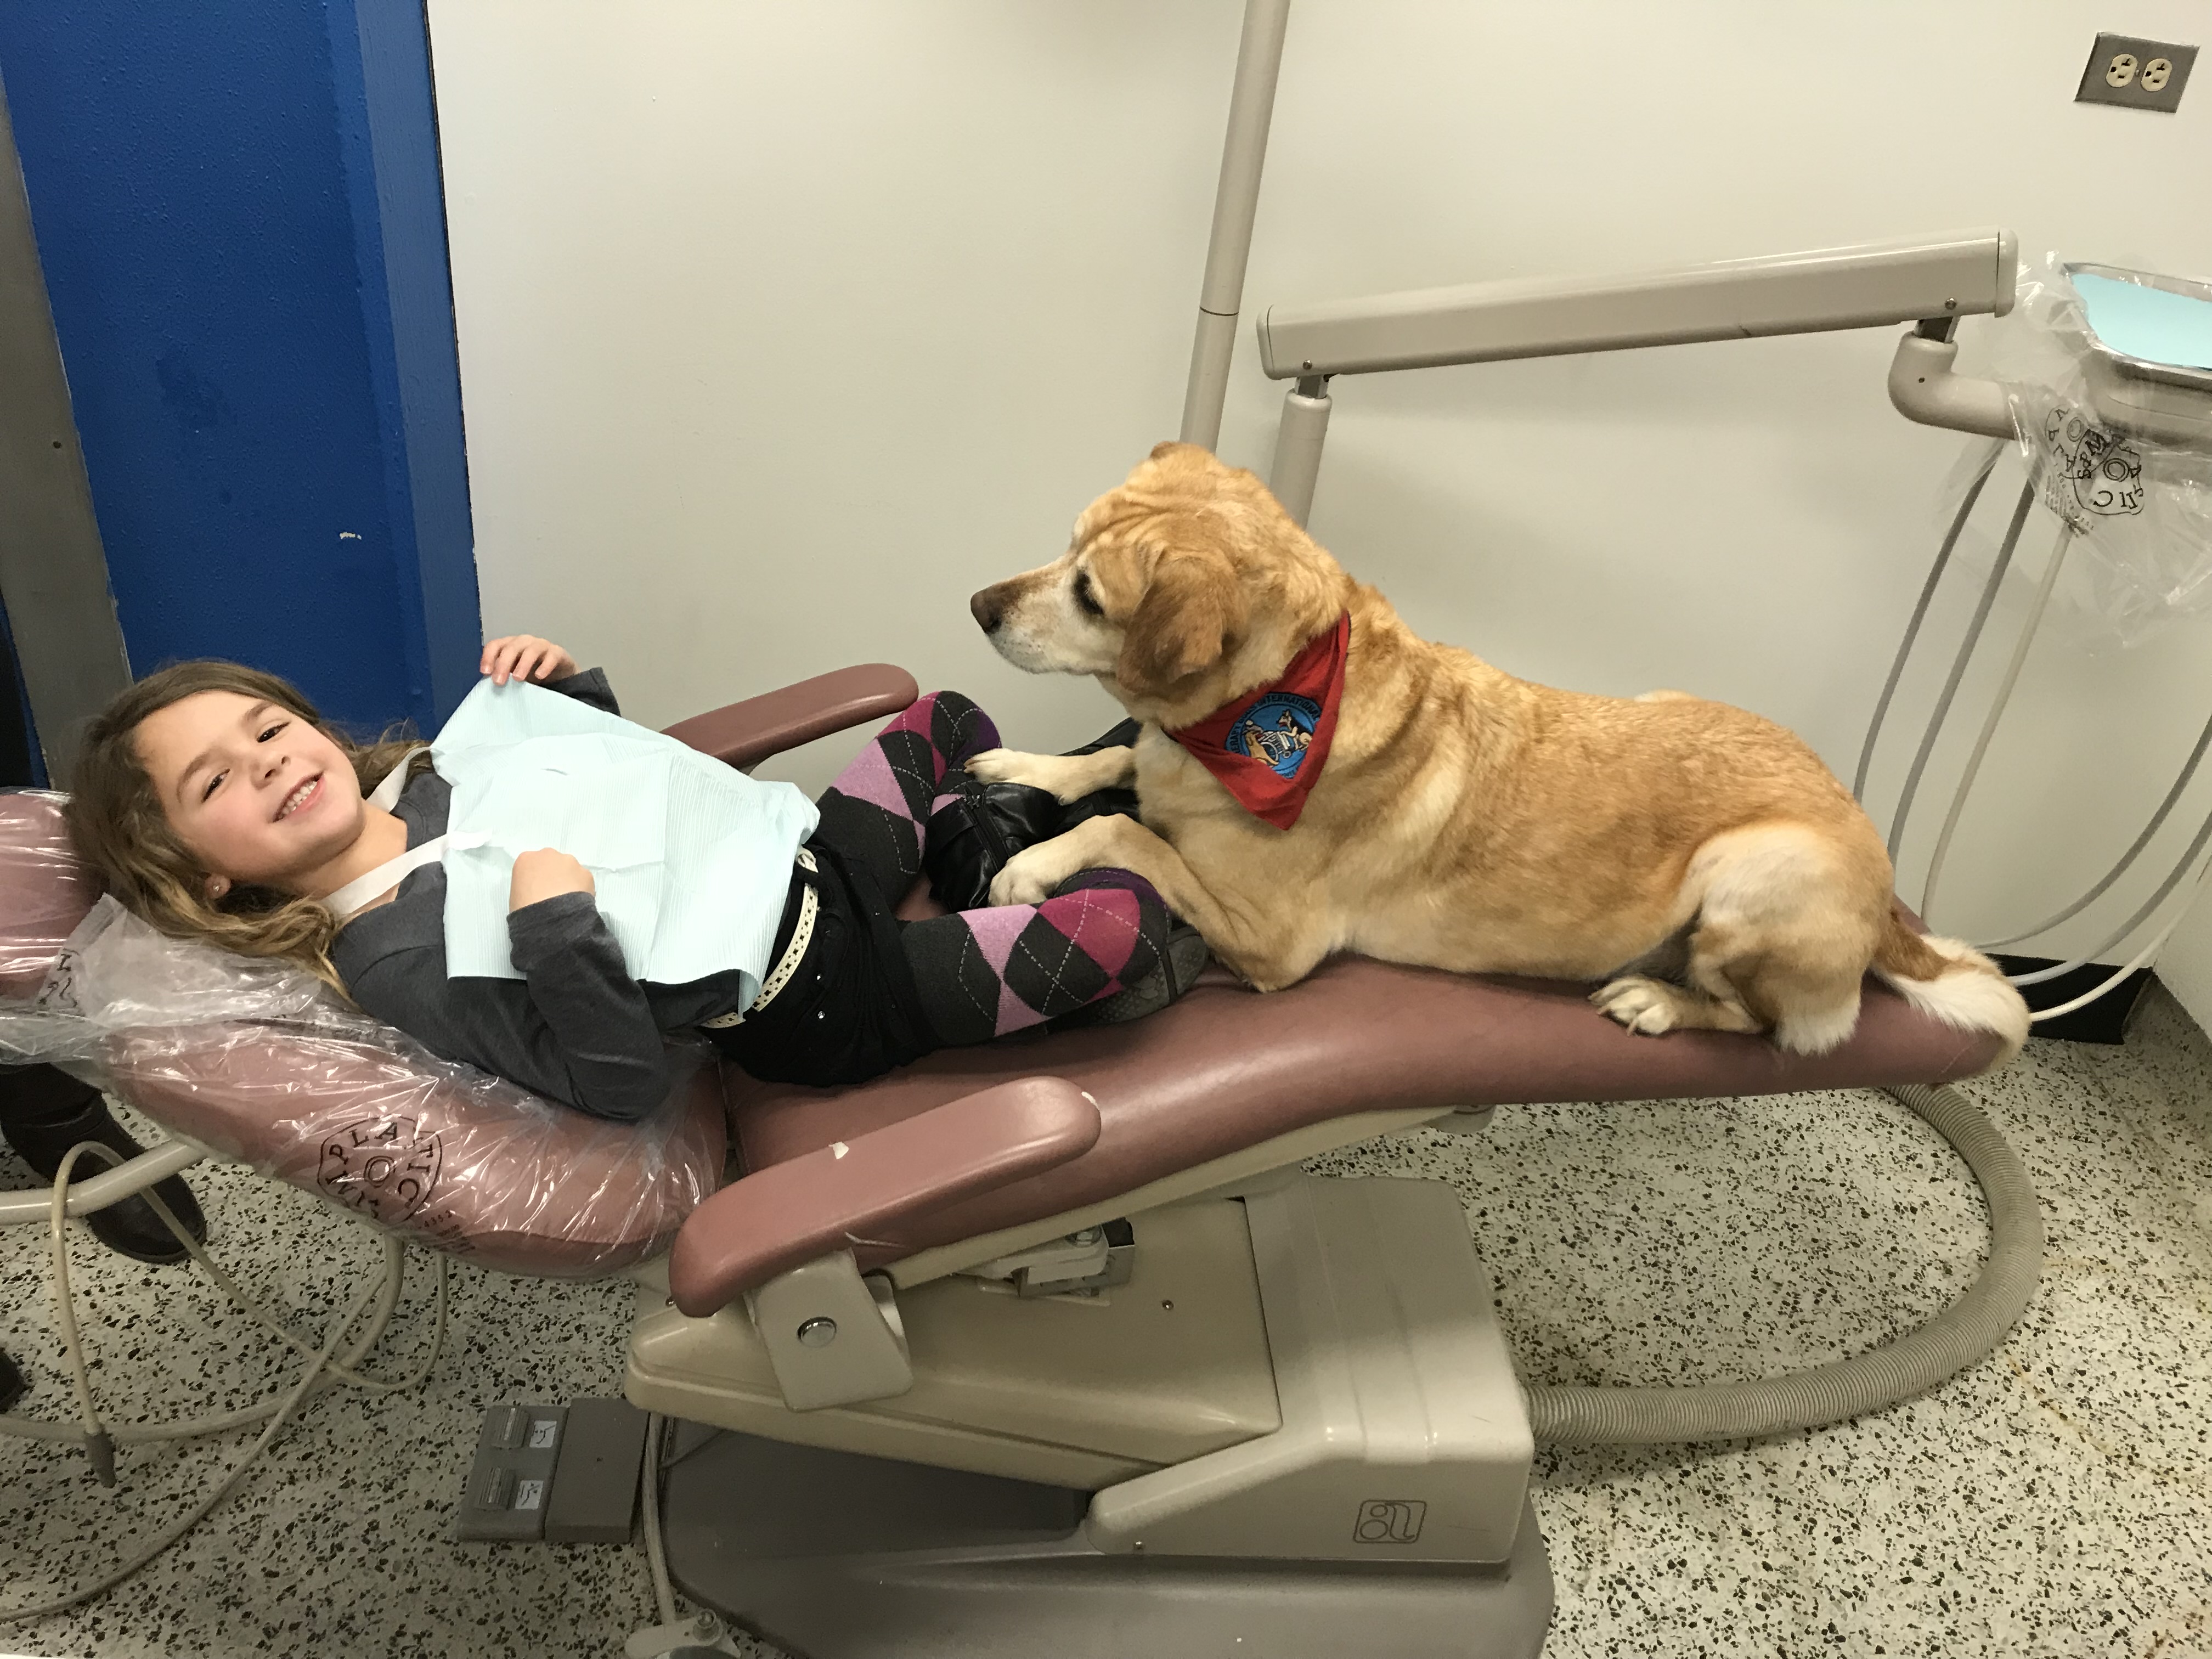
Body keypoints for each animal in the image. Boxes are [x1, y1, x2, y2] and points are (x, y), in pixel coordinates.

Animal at [960, 444, 2026, 1066]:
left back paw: (1659, 1000)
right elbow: (1112, 769)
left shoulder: (1271, 942)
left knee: (1773, 1025)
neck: (1254, 715)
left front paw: (1031, 866)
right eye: (1064, 548)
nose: (978, 605)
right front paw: (1029, 767)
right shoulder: (1160, 762)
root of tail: (1883, 877)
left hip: (1756, 871)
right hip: (1668, 698)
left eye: (1091, 594)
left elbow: (1125, 831)